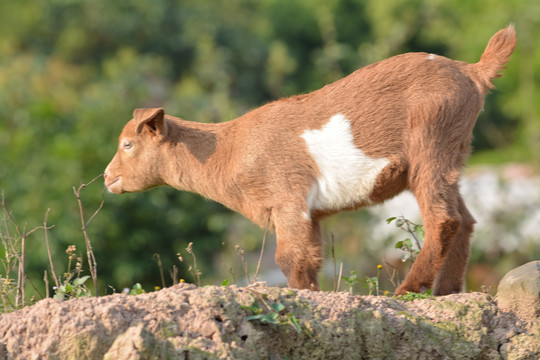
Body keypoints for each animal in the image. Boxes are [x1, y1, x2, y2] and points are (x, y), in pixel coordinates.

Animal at [104, 26, 516, 296]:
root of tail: (472, 71)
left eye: (127, 144)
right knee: (465, 218)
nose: (108, 177)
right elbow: (310, 258)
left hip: (430, 140)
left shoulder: (287, 197)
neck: (228, 150)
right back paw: (446, 292)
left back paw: (408, 291)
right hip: (454, 150)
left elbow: (291, 259)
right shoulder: (310, 212)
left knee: (443, 218)